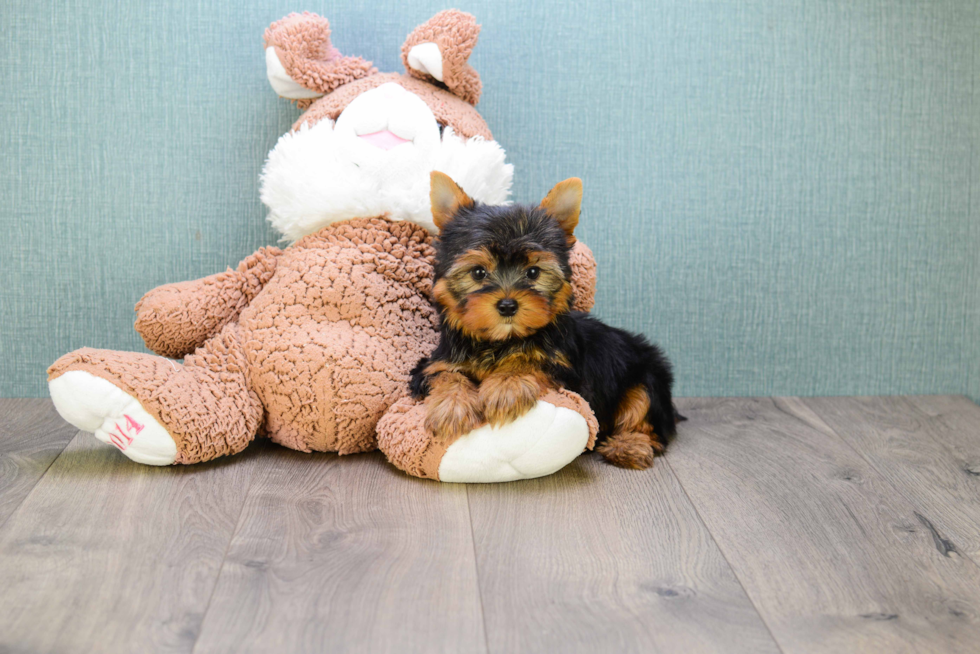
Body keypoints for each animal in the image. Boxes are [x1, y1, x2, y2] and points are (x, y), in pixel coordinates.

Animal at [410, 173, 676, 472]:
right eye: (478, 272)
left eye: (533, 272)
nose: (507, 305)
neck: (501, 341)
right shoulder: (434, 364)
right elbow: (446, 375)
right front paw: (452, 408)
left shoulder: (565, 370)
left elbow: (530, 360)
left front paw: (506, 386)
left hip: (647, 376)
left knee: (646, 418)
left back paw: (629, 446)